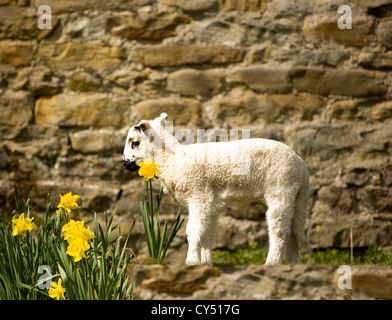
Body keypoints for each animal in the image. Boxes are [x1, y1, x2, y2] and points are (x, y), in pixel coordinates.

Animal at [124, 113, 310, 264]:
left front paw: (191, 261)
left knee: (279, 232)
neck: (172, 157)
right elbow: (206, 233)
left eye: (135, 143)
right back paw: (292, 265)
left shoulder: (198, 194)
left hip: (281, 190)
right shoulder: (210, 203)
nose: (125, 164)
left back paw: (271, 263)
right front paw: (205, 263)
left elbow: (193, 231)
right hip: (296, 198)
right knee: (294, 232)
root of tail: (302, 166)